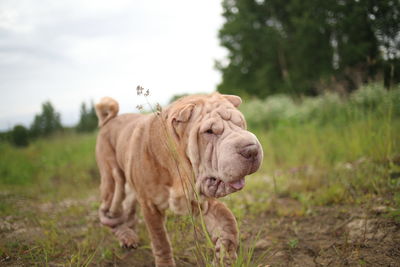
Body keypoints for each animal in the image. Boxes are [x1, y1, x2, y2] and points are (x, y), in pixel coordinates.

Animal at [94, 93, 262, 266]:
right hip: (113, 180)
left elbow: (228, 225)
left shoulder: (201, 202)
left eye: (240, 123)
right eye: (209, 131)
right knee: (111, 212)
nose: (251, 149)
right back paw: (125, 236)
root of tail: (109, 121)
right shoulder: (150, 206)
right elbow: (160, 240)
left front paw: (224, 258)